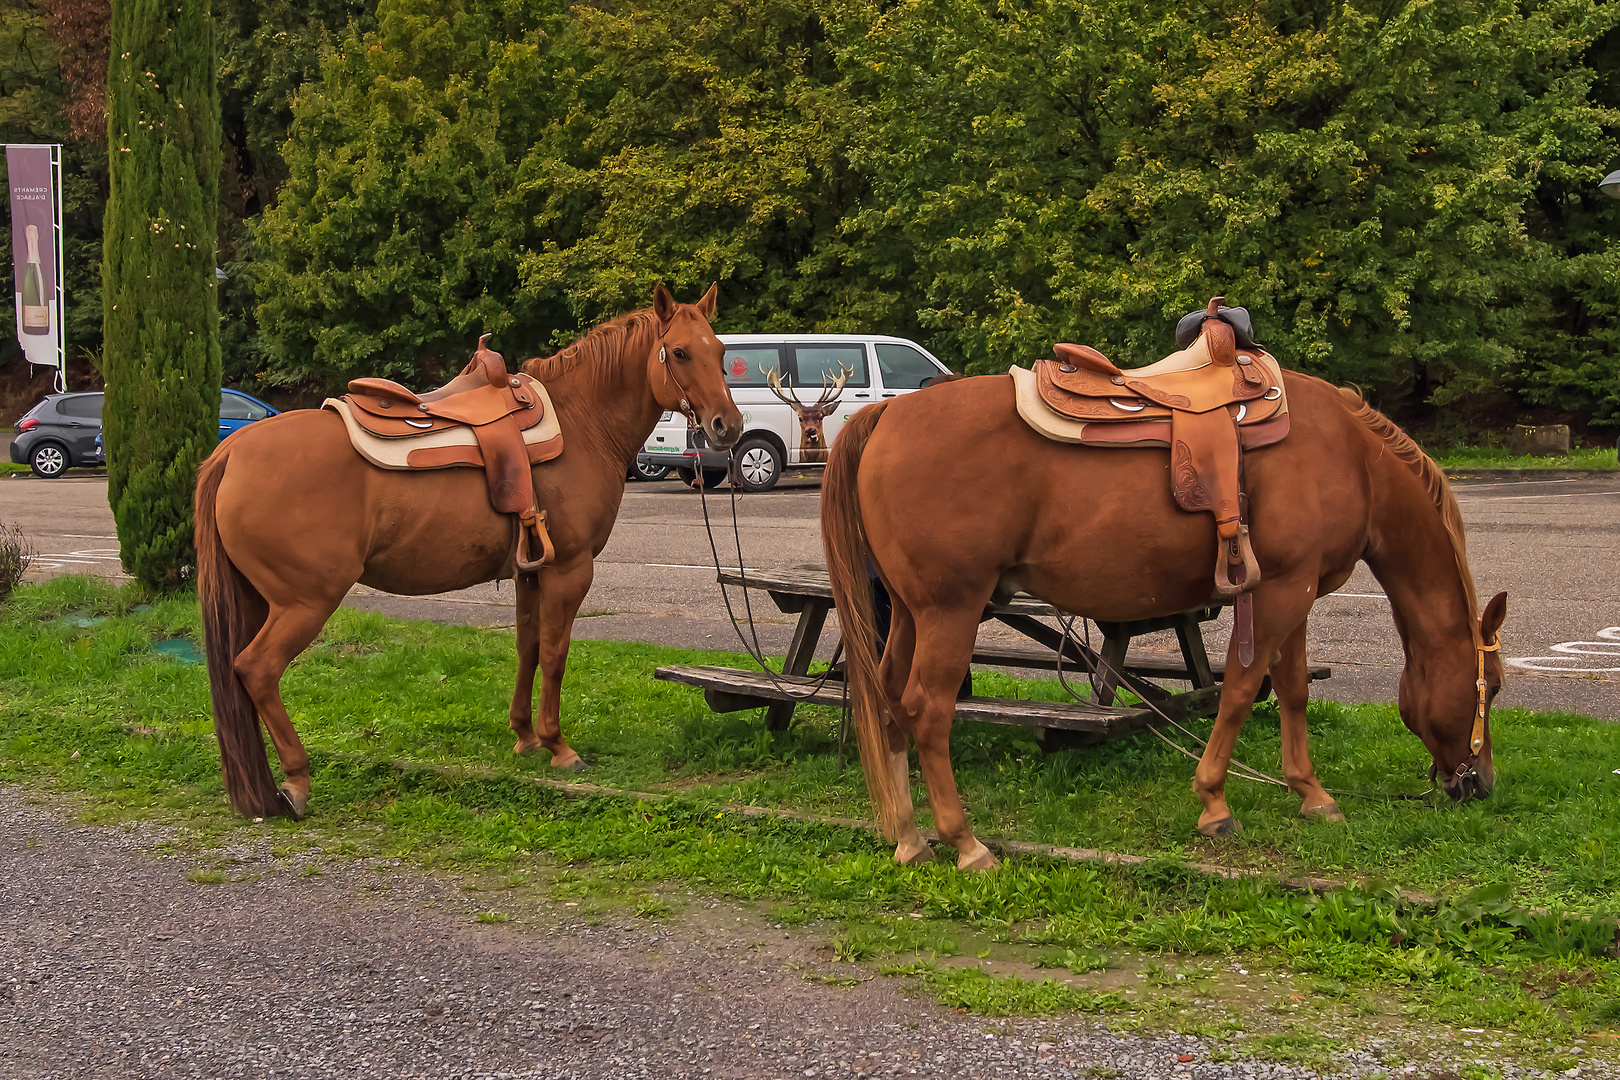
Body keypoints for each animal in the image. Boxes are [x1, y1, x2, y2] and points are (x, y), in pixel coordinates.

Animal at [194, 283, 741, 816]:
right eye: (679, 352)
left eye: (720, 351)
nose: (728, 426)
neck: (582, 421)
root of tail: (231, 451)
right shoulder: (569, 570)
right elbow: (555, 653)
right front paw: (557, 746)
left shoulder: (530, 571)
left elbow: (528, 647)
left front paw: (524, 737)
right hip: (305, 602)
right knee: (257, 669)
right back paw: (296, 780)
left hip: (257, 600)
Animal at [829, 372, 1509, 867]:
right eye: (1494, 687)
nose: (1479, 784)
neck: (1351, 457)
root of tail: (887, 414)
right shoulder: (1282, 591)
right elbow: (1239, 692)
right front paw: (1214, 802)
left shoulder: (1297, 592)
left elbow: (1291, 690)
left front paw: (1310, 793)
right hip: (952, 610)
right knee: (928, 710)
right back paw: (965, 844)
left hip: (909, 613)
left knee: (889, 700)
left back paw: (909, 838)